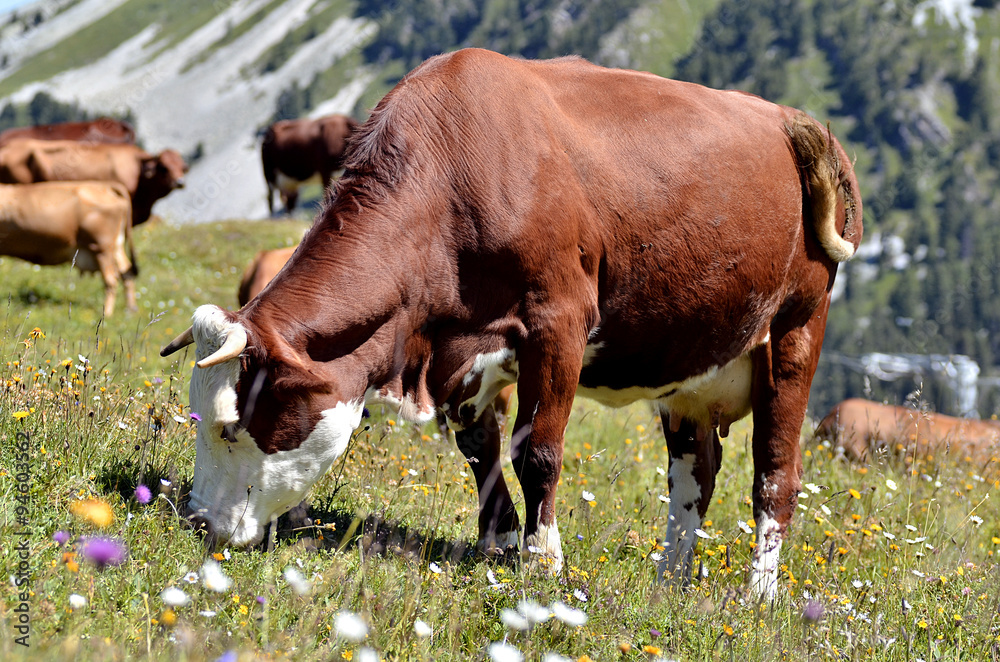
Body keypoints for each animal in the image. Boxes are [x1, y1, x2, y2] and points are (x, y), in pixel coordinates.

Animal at [0, 181, 136, 316]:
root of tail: (105, 186)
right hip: (115, 246)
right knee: (126, 272)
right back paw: (130, 309)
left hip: (102, 248)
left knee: (111, 280)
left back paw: (107, 313)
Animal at [161, 48, 862, 599]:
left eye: (229, 426)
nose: (196, 522)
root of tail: (792, 120)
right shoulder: (464, 353)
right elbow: (481, 450)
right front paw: (497, 544)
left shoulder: (558, 323)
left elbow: (539, 454)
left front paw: (542, 559)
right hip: (690, 360)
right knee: (695, 471)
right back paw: (670, 580)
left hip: (797, 329)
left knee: (775, 472)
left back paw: (759, 592)